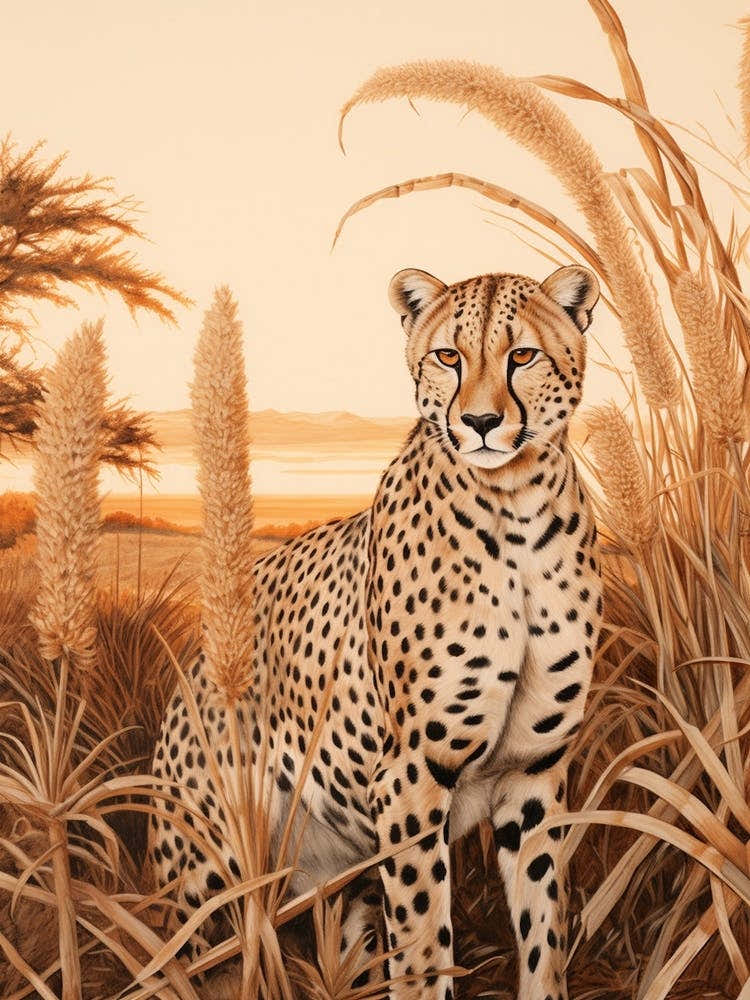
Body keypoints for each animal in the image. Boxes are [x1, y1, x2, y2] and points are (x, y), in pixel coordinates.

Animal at [149, 263, 603, 1000]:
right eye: (448, 356)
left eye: (522, 356)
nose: (480, 421)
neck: (516, 510)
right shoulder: (411, 774)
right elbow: (423, 947)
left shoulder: (534, 775)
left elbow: (544, 930)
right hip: (205, 867)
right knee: (181, 957)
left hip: (337, 880)